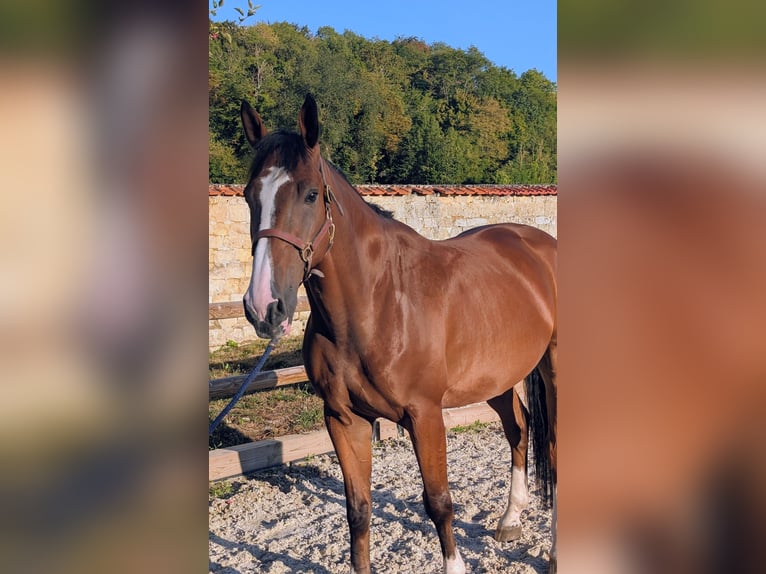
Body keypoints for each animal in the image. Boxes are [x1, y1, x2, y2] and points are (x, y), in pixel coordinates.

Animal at [239, 94, 557, 574]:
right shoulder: (344, 419)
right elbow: (358, 510)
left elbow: (439, 502)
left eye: (311, 194)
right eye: (248, 196)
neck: (376, 304)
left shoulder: (425, 415)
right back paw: (510, 519)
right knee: (518, 429)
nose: (264, 306)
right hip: (496, 377)